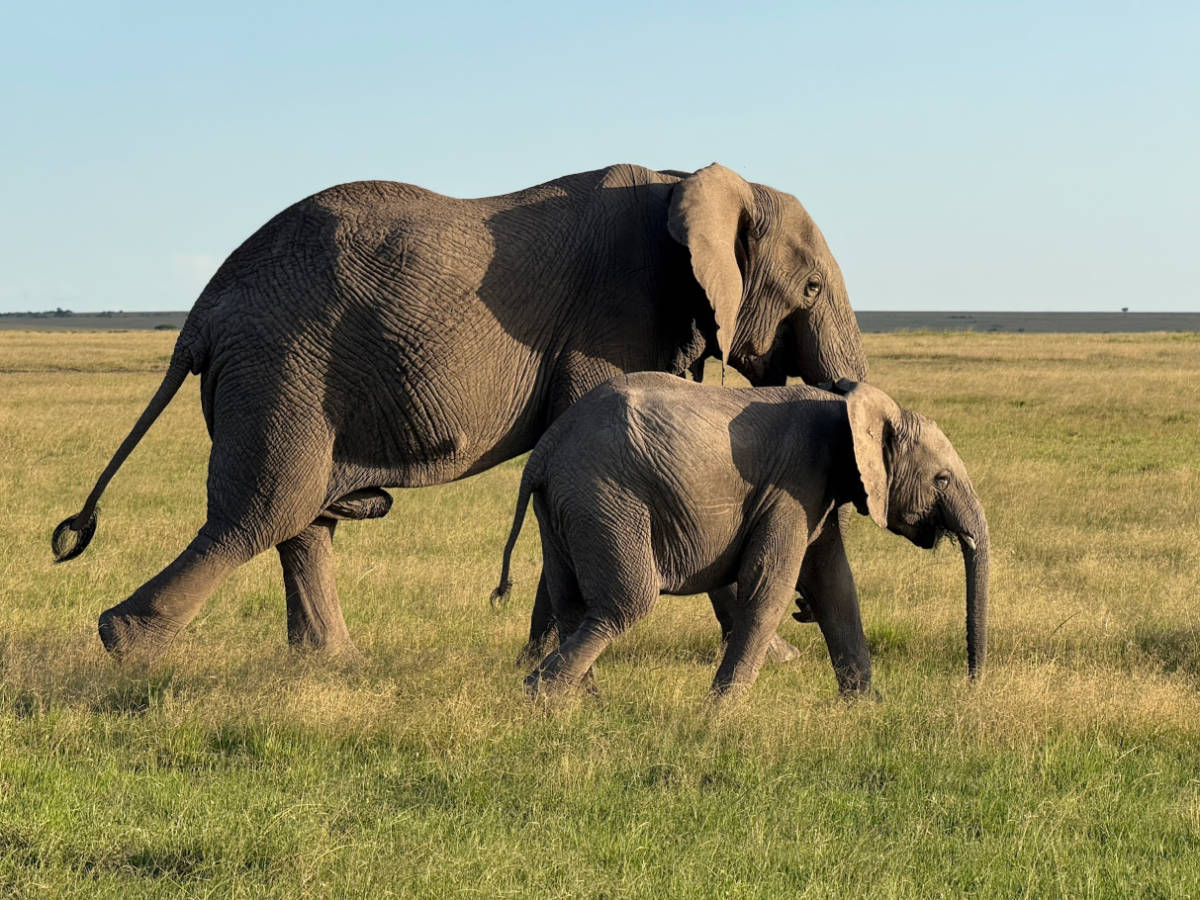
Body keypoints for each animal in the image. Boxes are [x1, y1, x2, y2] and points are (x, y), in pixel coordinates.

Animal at [51, 162, 868, 662]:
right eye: (812, 290)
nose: (804, 612)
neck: (691, 180)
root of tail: (203, 308)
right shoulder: (615, 317)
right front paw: (782, 659)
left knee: (300, 519)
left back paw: (332, 663)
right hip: (281, 368)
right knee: (261, 510)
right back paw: (129, 648)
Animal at [491, 375, 989, 697]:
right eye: (942, 480)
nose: (970, 685)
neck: (848, 406)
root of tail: (545, 450)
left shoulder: (818, 494)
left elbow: (835, 587)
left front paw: (868, 710)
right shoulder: (794, 484)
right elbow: (770, 584)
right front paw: (720, 716)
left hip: (565, 507)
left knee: (571, 601)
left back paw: (585, 705)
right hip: (605, 497)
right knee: (626, 602)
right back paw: (541, 699)